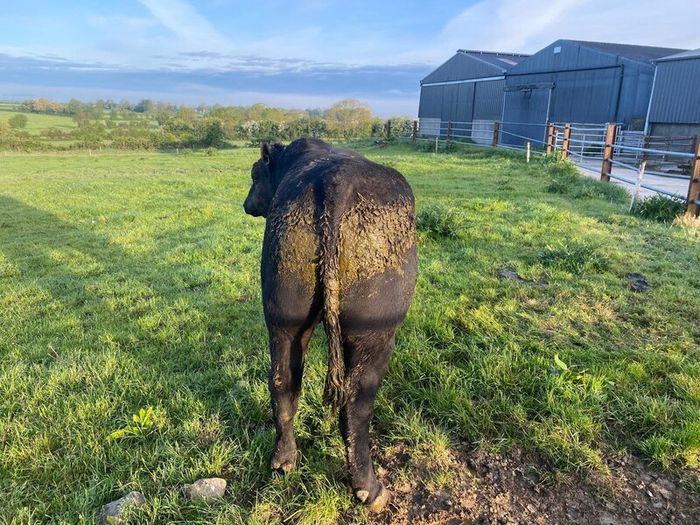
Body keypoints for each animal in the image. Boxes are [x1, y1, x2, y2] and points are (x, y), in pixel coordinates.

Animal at [243, 138, 417, 512]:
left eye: (254, 175)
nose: (247, 203)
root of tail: (335, 179)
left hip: (284, 319)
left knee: (283, 381)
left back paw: (283, 460)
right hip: (375, 333)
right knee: (356, 404)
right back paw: (369, 491)